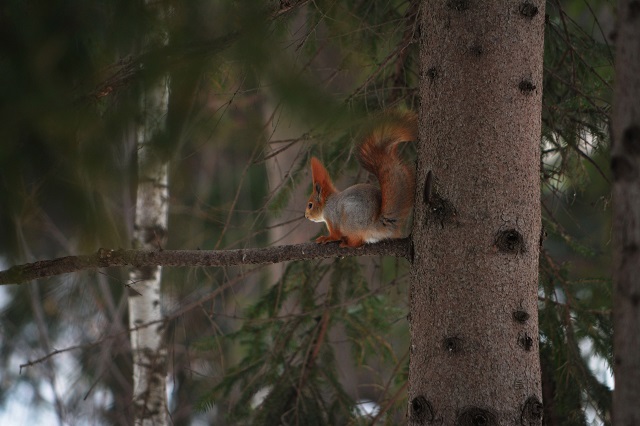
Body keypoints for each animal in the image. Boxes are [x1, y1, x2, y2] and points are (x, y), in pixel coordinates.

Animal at [306, 111, 418, 248]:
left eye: (310, 205)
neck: (327, 203)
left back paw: (347, 243)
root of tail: (374, 226)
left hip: (349, 219)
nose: (306, 216)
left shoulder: (332, 217)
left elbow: (335, 235)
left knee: (357, 241)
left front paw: (326, 238)